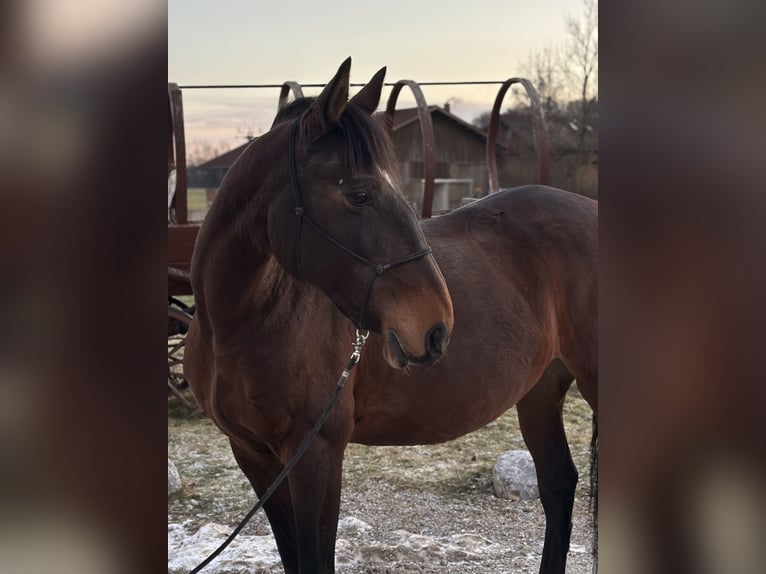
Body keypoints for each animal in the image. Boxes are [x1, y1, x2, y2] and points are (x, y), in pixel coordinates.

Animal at [186, 59, 600, 574]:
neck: (240, 326)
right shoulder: (254, 458)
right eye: (360, 194)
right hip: (540, 390)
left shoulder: (316, 456)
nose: (437, 327)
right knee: (558, 485)